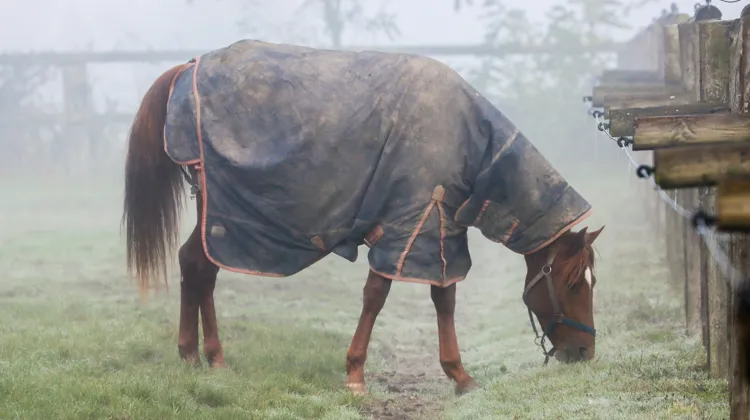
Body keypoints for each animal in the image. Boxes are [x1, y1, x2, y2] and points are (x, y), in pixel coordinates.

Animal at [122, 39, 604, 396]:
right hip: (221, 211)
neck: (475, 144)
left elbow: (437, 297)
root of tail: (188, 67)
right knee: (201, 266)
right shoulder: (414, 224)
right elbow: (387, 295)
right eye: (573, 284)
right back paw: (208, 356)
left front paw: (458, 375)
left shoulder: (430, 226)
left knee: (196, 265)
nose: (585, 353)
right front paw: (359, 374)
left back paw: (198, 356)